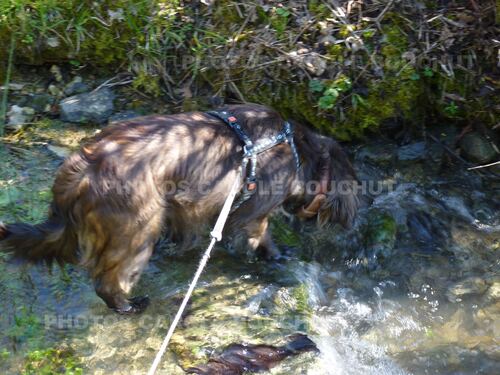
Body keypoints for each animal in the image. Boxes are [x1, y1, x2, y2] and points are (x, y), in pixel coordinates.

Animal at [0, 104, 360, 316]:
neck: (300, 152)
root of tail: (81, 169)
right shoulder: (256, 212)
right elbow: (261, 236)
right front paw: (277, 254)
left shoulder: (188, 208)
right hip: (137, 231)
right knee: (108, 281)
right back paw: (128, 306)